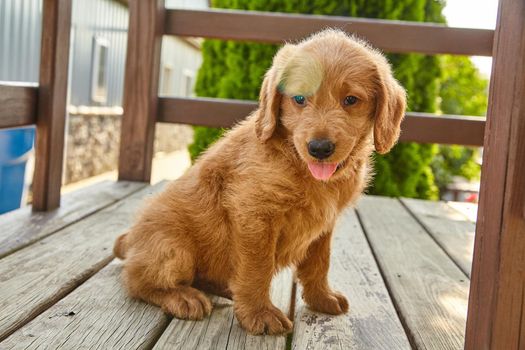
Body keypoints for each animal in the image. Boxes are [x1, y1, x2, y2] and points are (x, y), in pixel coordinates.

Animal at [113, 29, 406, 336]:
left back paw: (223, 289)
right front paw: (259, 313)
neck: (298, 164)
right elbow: (257, 268)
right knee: (136, 280)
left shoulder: (324, 224)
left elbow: (319, 262)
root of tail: (131, 240)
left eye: (350, 100)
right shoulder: (254, 214)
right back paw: (182, 296)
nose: (319, 148)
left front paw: (322, 298)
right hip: (173, 249)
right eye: (299, 99)